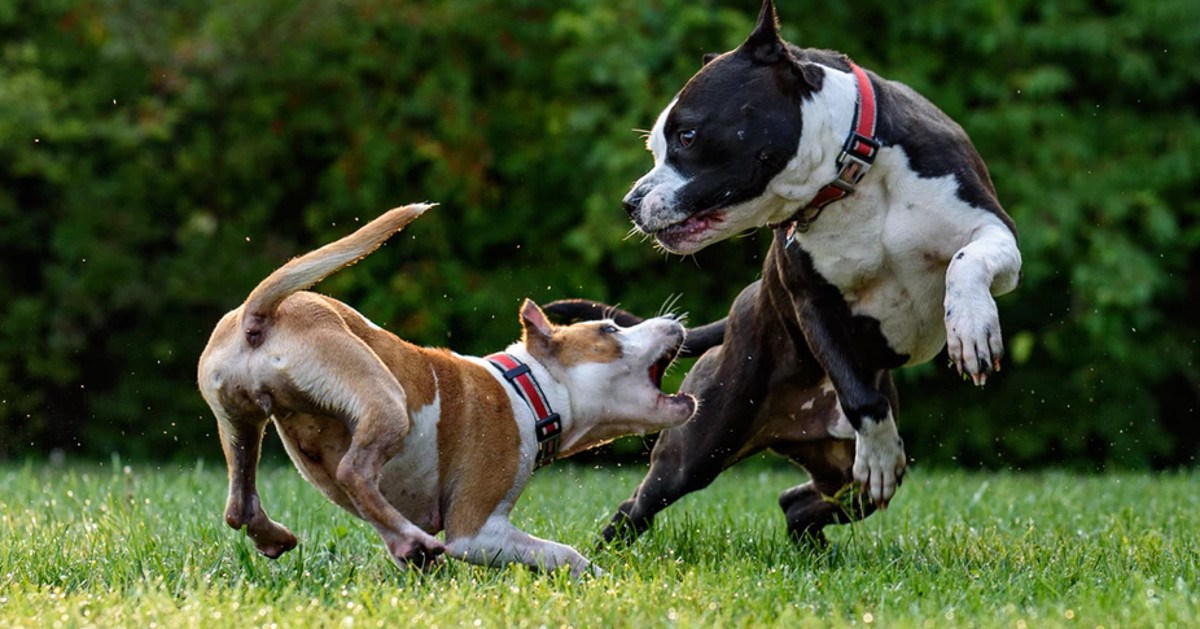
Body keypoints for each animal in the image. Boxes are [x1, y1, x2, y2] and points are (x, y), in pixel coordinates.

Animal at [196, 205, 696, 573]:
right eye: (610, 329)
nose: (674, 321)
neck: (528, 388)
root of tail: (259, 315)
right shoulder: (476, 531)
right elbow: (565, 554)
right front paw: (597, 579)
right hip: (384, 398)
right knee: (353, 471)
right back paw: (412, 539)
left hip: (240, 422)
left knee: (240, 503)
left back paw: (286, 537)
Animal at [549, 0, 1017, 540]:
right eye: (656, 149)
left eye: (687, 135)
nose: (630, 202)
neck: (850, 175)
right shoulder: (811, 300)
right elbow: (861, 398)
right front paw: (879, 451)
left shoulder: (995, 230)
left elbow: (967, 259)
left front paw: (972, 327)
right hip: (699, 445)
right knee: (639, 505)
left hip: (839, 474)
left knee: (800, 501)